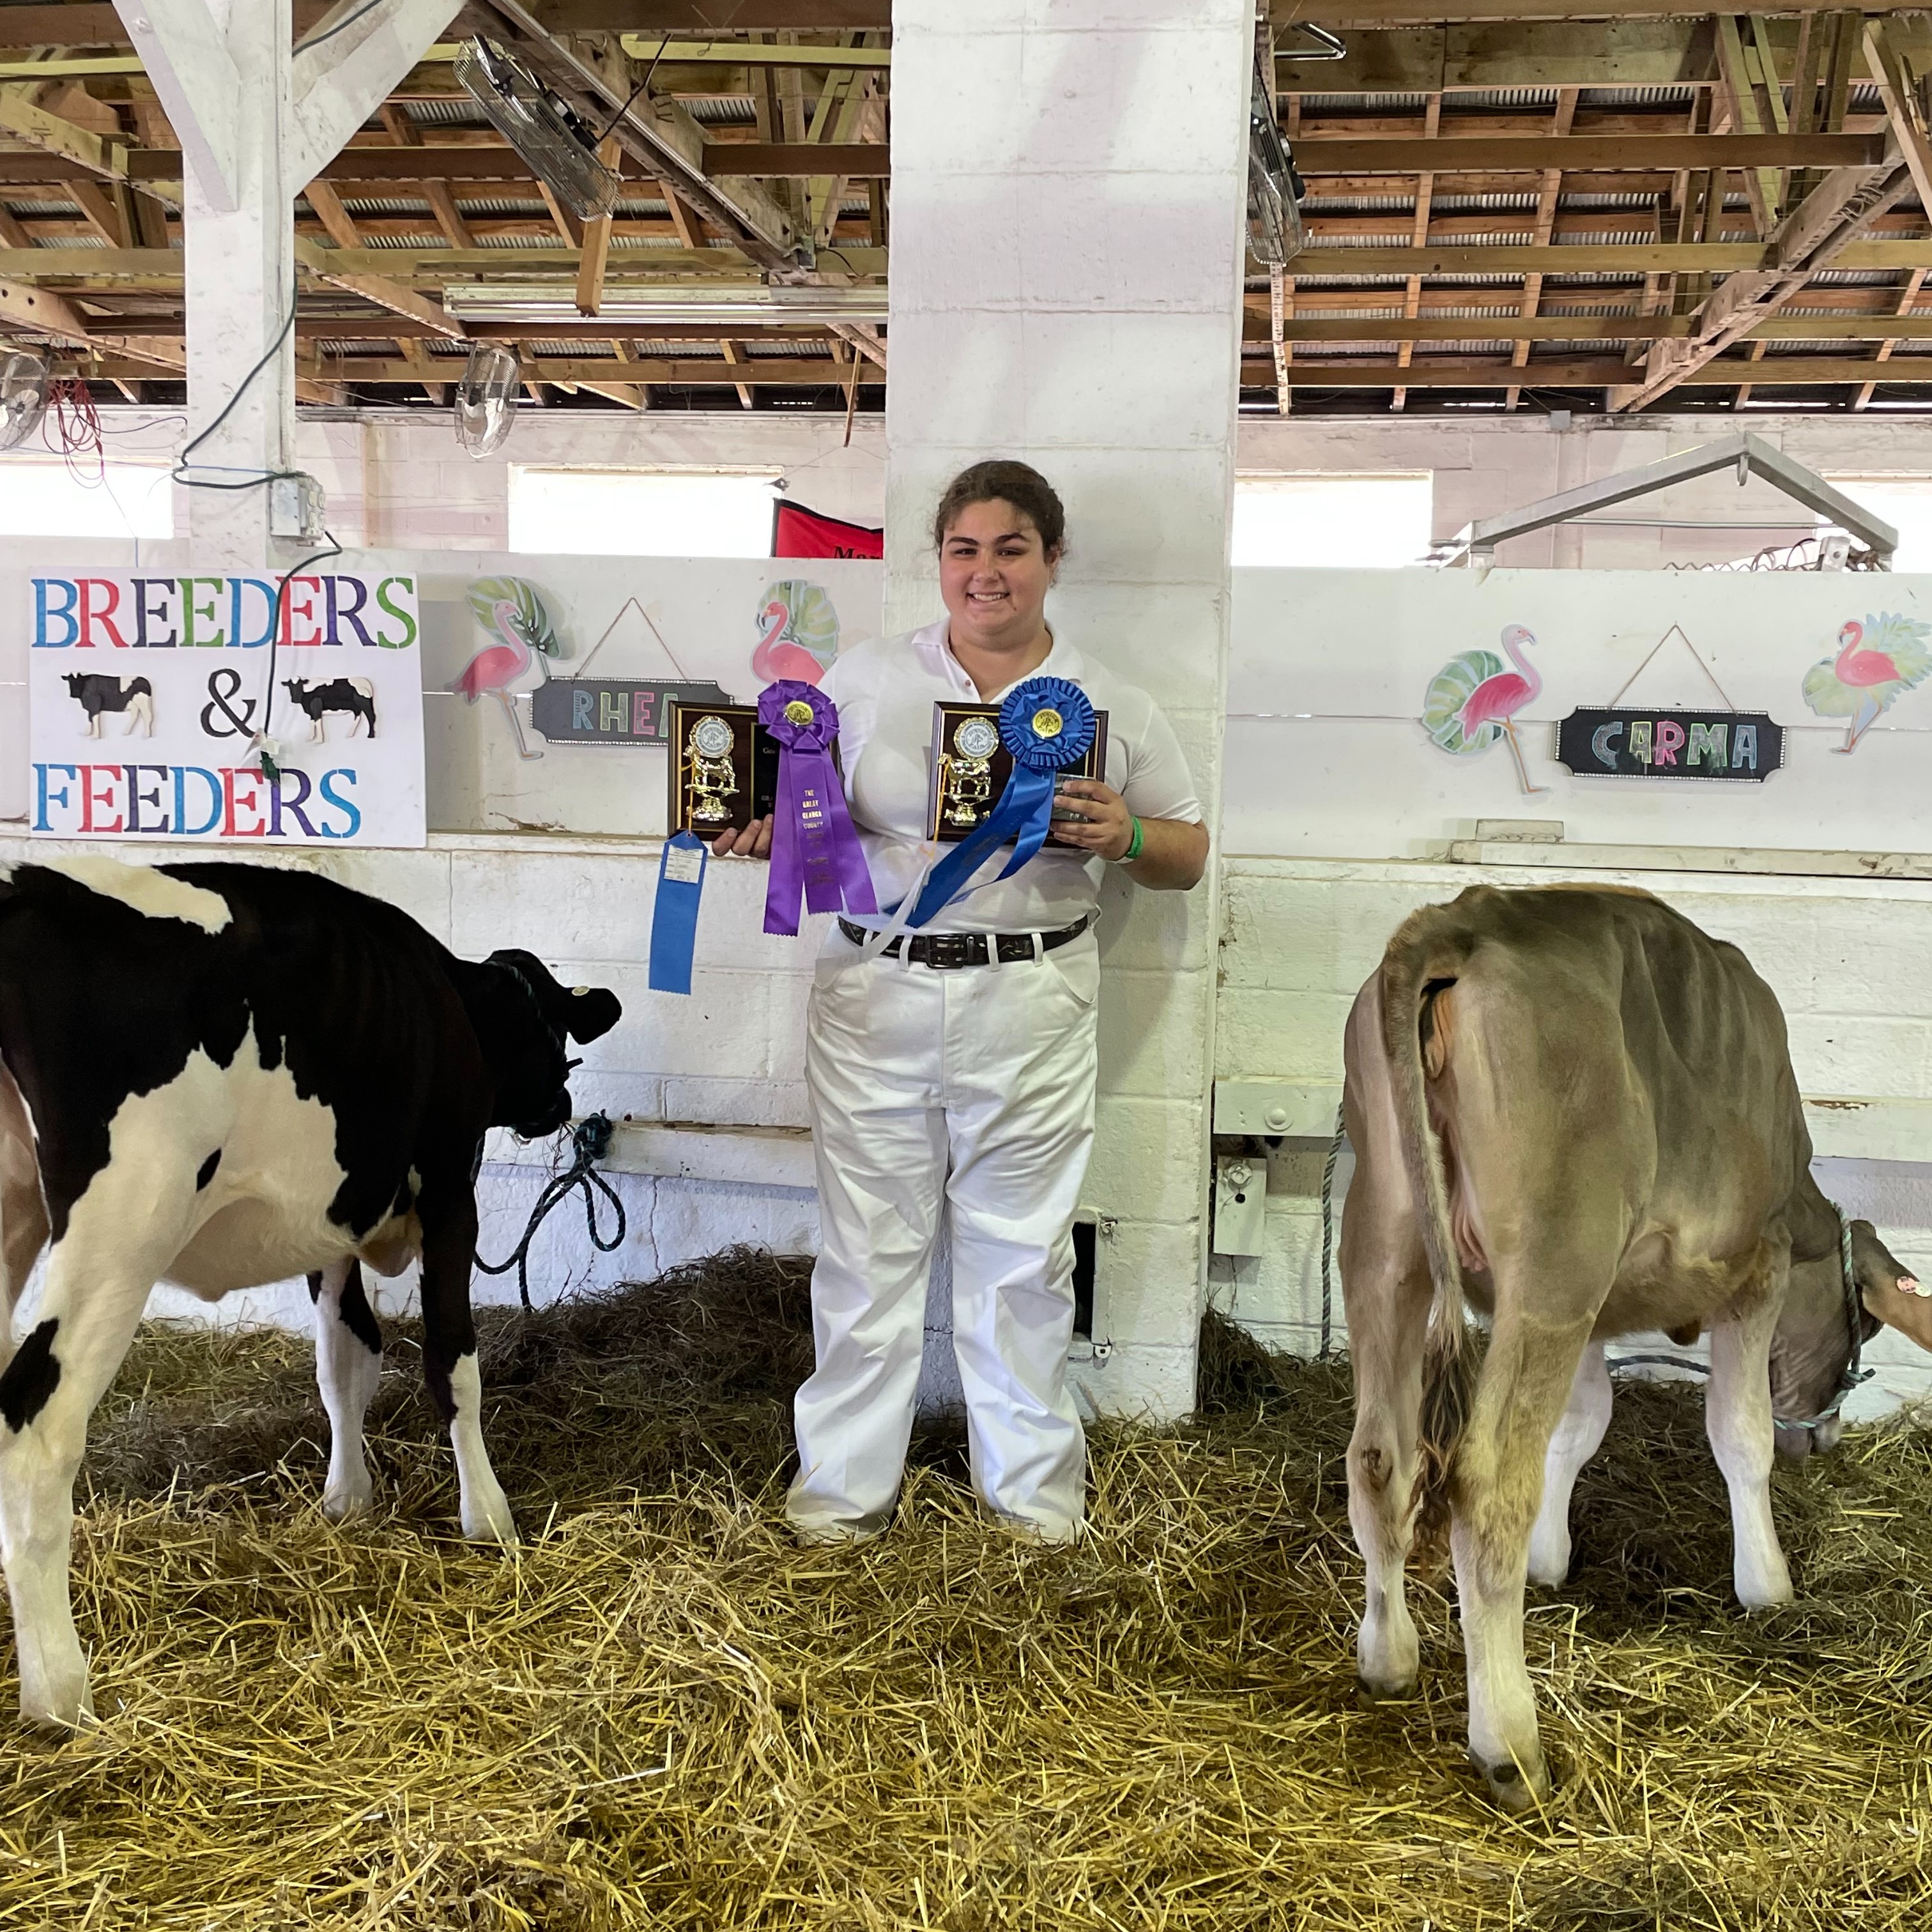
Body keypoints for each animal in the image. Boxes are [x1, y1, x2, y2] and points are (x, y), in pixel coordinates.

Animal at [0, 861, 618, 1723]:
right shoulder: (450, 1196)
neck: (448, 998)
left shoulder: (328, 1225)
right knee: (35, 1433)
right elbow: (452, 1362)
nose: (558, 1106)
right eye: (553, 1030)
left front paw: (347, 1499)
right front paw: (488, 1517)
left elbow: (344, 1363)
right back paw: (60, 1692)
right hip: (119, 1230)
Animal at [60, 680, 151, 738]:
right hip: (134, 705)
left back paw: (147, 735)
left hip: (142, 702)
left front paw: (95, 735)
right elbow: (90, 717)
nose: (73, 694)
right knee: (135, 715)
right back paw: (126, 732)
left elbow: (93, 717)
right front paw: (89, 733)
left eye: (78, 681)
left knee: (147, 715)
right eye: (70, 681)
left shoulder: (95, 703)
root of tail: (146, 681)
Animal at [282, 676, 376, 742]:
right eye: (290, 686)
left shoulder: (317, 707)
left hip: (364, 703)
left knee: (371, 716)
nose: (295, 700)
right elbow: (312, 723)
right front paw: (310, 738)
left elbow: (317, 721)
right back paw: (350, 734)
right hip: (356, 706)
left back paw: (371, 735)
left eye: (300, 685)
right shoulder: (311, 711)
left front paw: (319, 740)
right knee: (358, 717)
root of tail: (366, 682)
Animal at [1344, 884, 1932, 1808]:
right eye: (1865, 1325)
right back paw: (1510, 1742)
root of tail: (1468, 915)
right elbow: (1739, 1436)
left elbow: (1579, 1427)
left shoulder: (1596, 1311)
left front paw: (1552, 1560)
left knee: (1379, 1458)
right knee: (1484, 1484)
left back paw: (1387, 1658)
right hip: (1553, 1264)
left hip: (1384, 1240)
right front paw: (1767, 1585)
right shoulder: (1753, 1268)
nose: (1828, 1437)